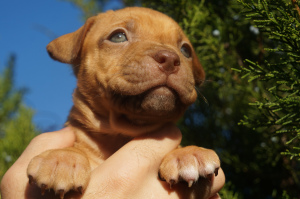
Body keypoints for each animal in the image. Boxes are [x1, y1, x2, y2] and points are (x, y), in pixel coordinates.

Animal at [27, 7, 220, 198]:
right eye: (118, 36)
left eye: (186, 50)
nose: (170, 59)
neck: (122, 133)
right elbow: (77, 147)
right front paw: (63, 158)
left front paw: (185, 152)